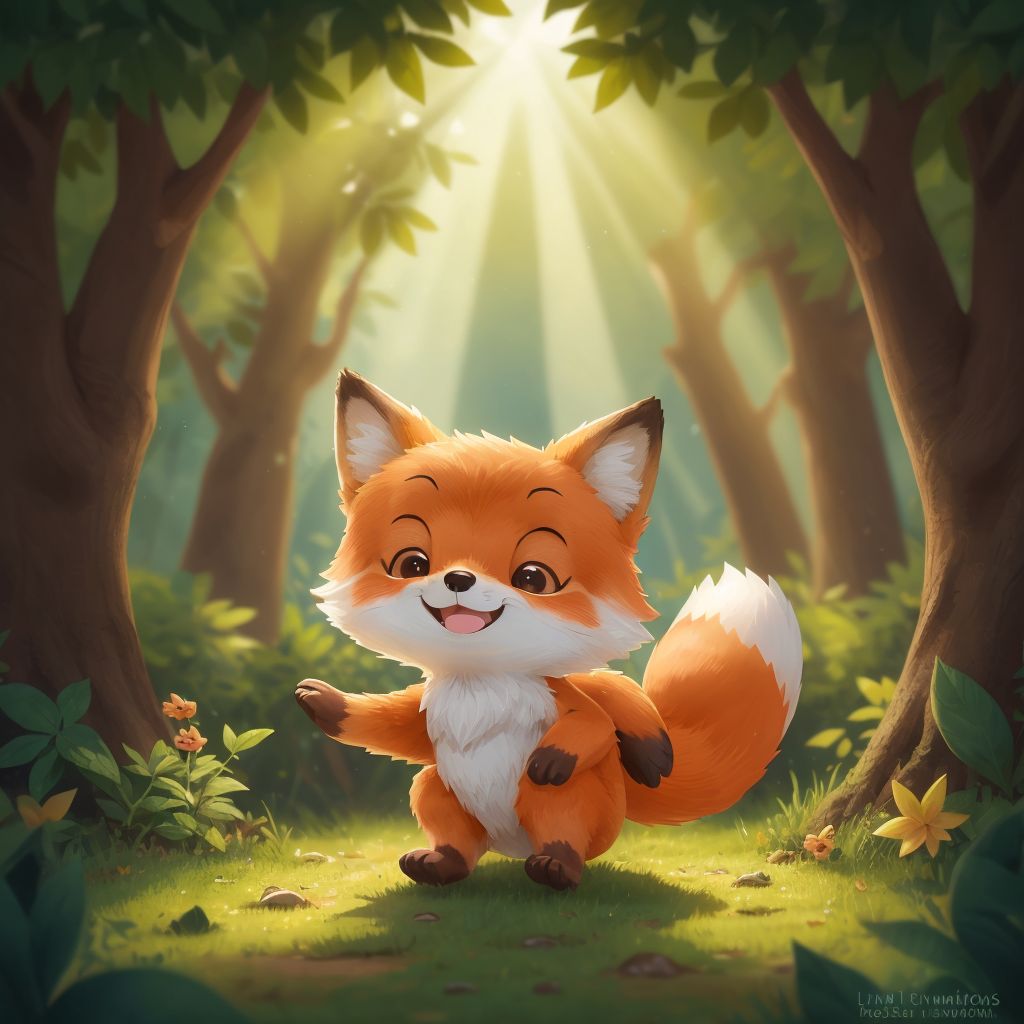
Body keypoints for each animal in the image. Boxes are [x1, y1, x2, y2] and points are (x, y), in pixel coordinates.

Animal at [295, 370, 802, 891]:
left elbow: (594, 723)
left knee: (560, 821)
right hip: (438, 788)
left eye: (534, 578)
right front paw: (325, 703)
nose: (458, 579)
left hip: (564, 800)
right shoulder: (425, 715)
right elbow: (386, 725)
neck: (480, 685)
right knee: (453, 832)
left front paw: (554, 756)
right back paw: (439, 863)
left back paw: (556, 866)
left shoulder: (563, 702)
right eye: (412, 564)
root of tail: (511, 846)